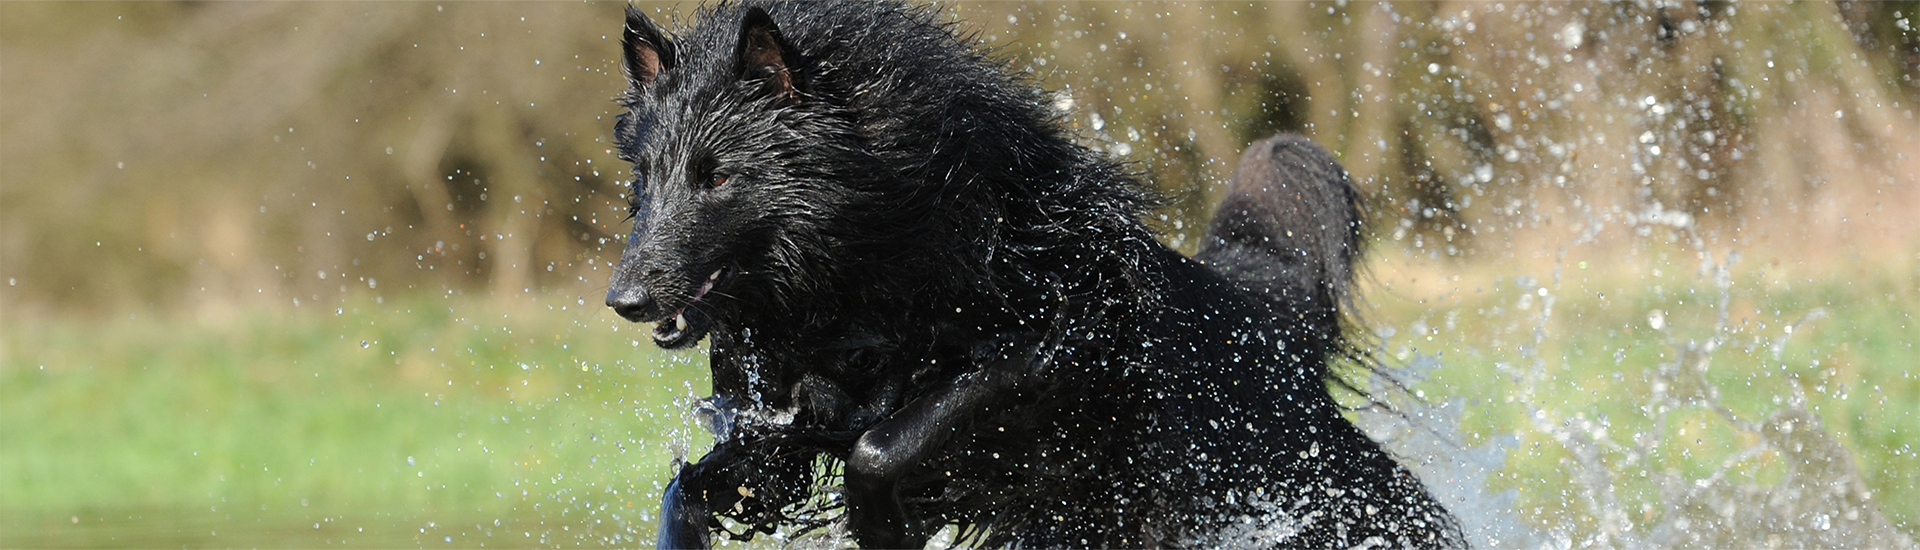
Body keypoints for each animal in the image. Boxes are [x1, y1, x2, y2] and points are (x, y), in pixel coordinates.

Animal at [599, 2, 1451, 546]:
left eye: (718, 177)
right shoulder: (780, 431)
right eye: (646, 175)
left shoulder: (1054, 347)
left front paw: (881, 524)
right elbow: (689, 488)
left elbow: (887, 442)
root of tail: (1269, 326)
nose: (624, 299)